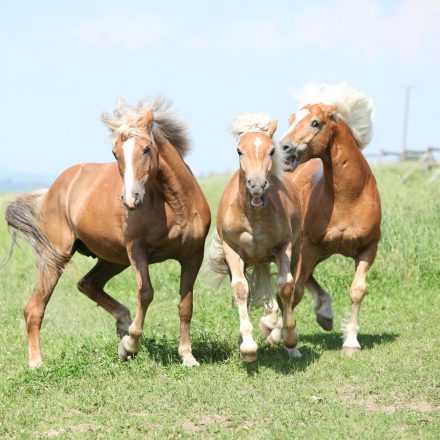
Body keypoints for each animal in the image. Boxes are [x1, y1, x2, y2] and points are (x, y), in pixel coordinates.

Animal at [4, 99, 211, 368]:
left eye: (147, 149)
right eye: (115, 153)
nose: (131, 199)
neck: (175, 206)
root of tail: (51, 191)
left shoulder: (193, 255)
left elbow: (186, 305)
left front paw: (187, 356)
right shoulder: (137, 251)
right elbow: (146, 293)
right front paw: (130, 345)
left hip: (113, 259)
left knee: (88, 284)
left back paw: (123, 323)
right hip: (57, 256)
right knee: (34, 308)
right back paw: (37, 364)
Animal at [205, 112, 302, 360]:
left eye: (272, 150)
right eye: (239, 150)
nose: (257, 185)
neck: (254, 215)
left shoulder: (284, 247)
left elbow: (285, 287)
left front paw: (290, 338)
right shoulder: (232, 251)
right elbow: (241, 289)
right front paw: (248, 347)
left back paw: (292, 348)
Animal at [262, 82, 382, 356]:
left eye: (315, 123)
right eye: (291, 119)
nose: (282, 148)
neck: (348, 198)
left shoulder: (368, 248)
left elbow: (358, 290)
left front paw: (351, 342)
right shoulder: (309, 247)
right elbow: (294, 291)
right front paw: (282, 337)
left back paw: (325, 314)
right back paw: (272, 325)